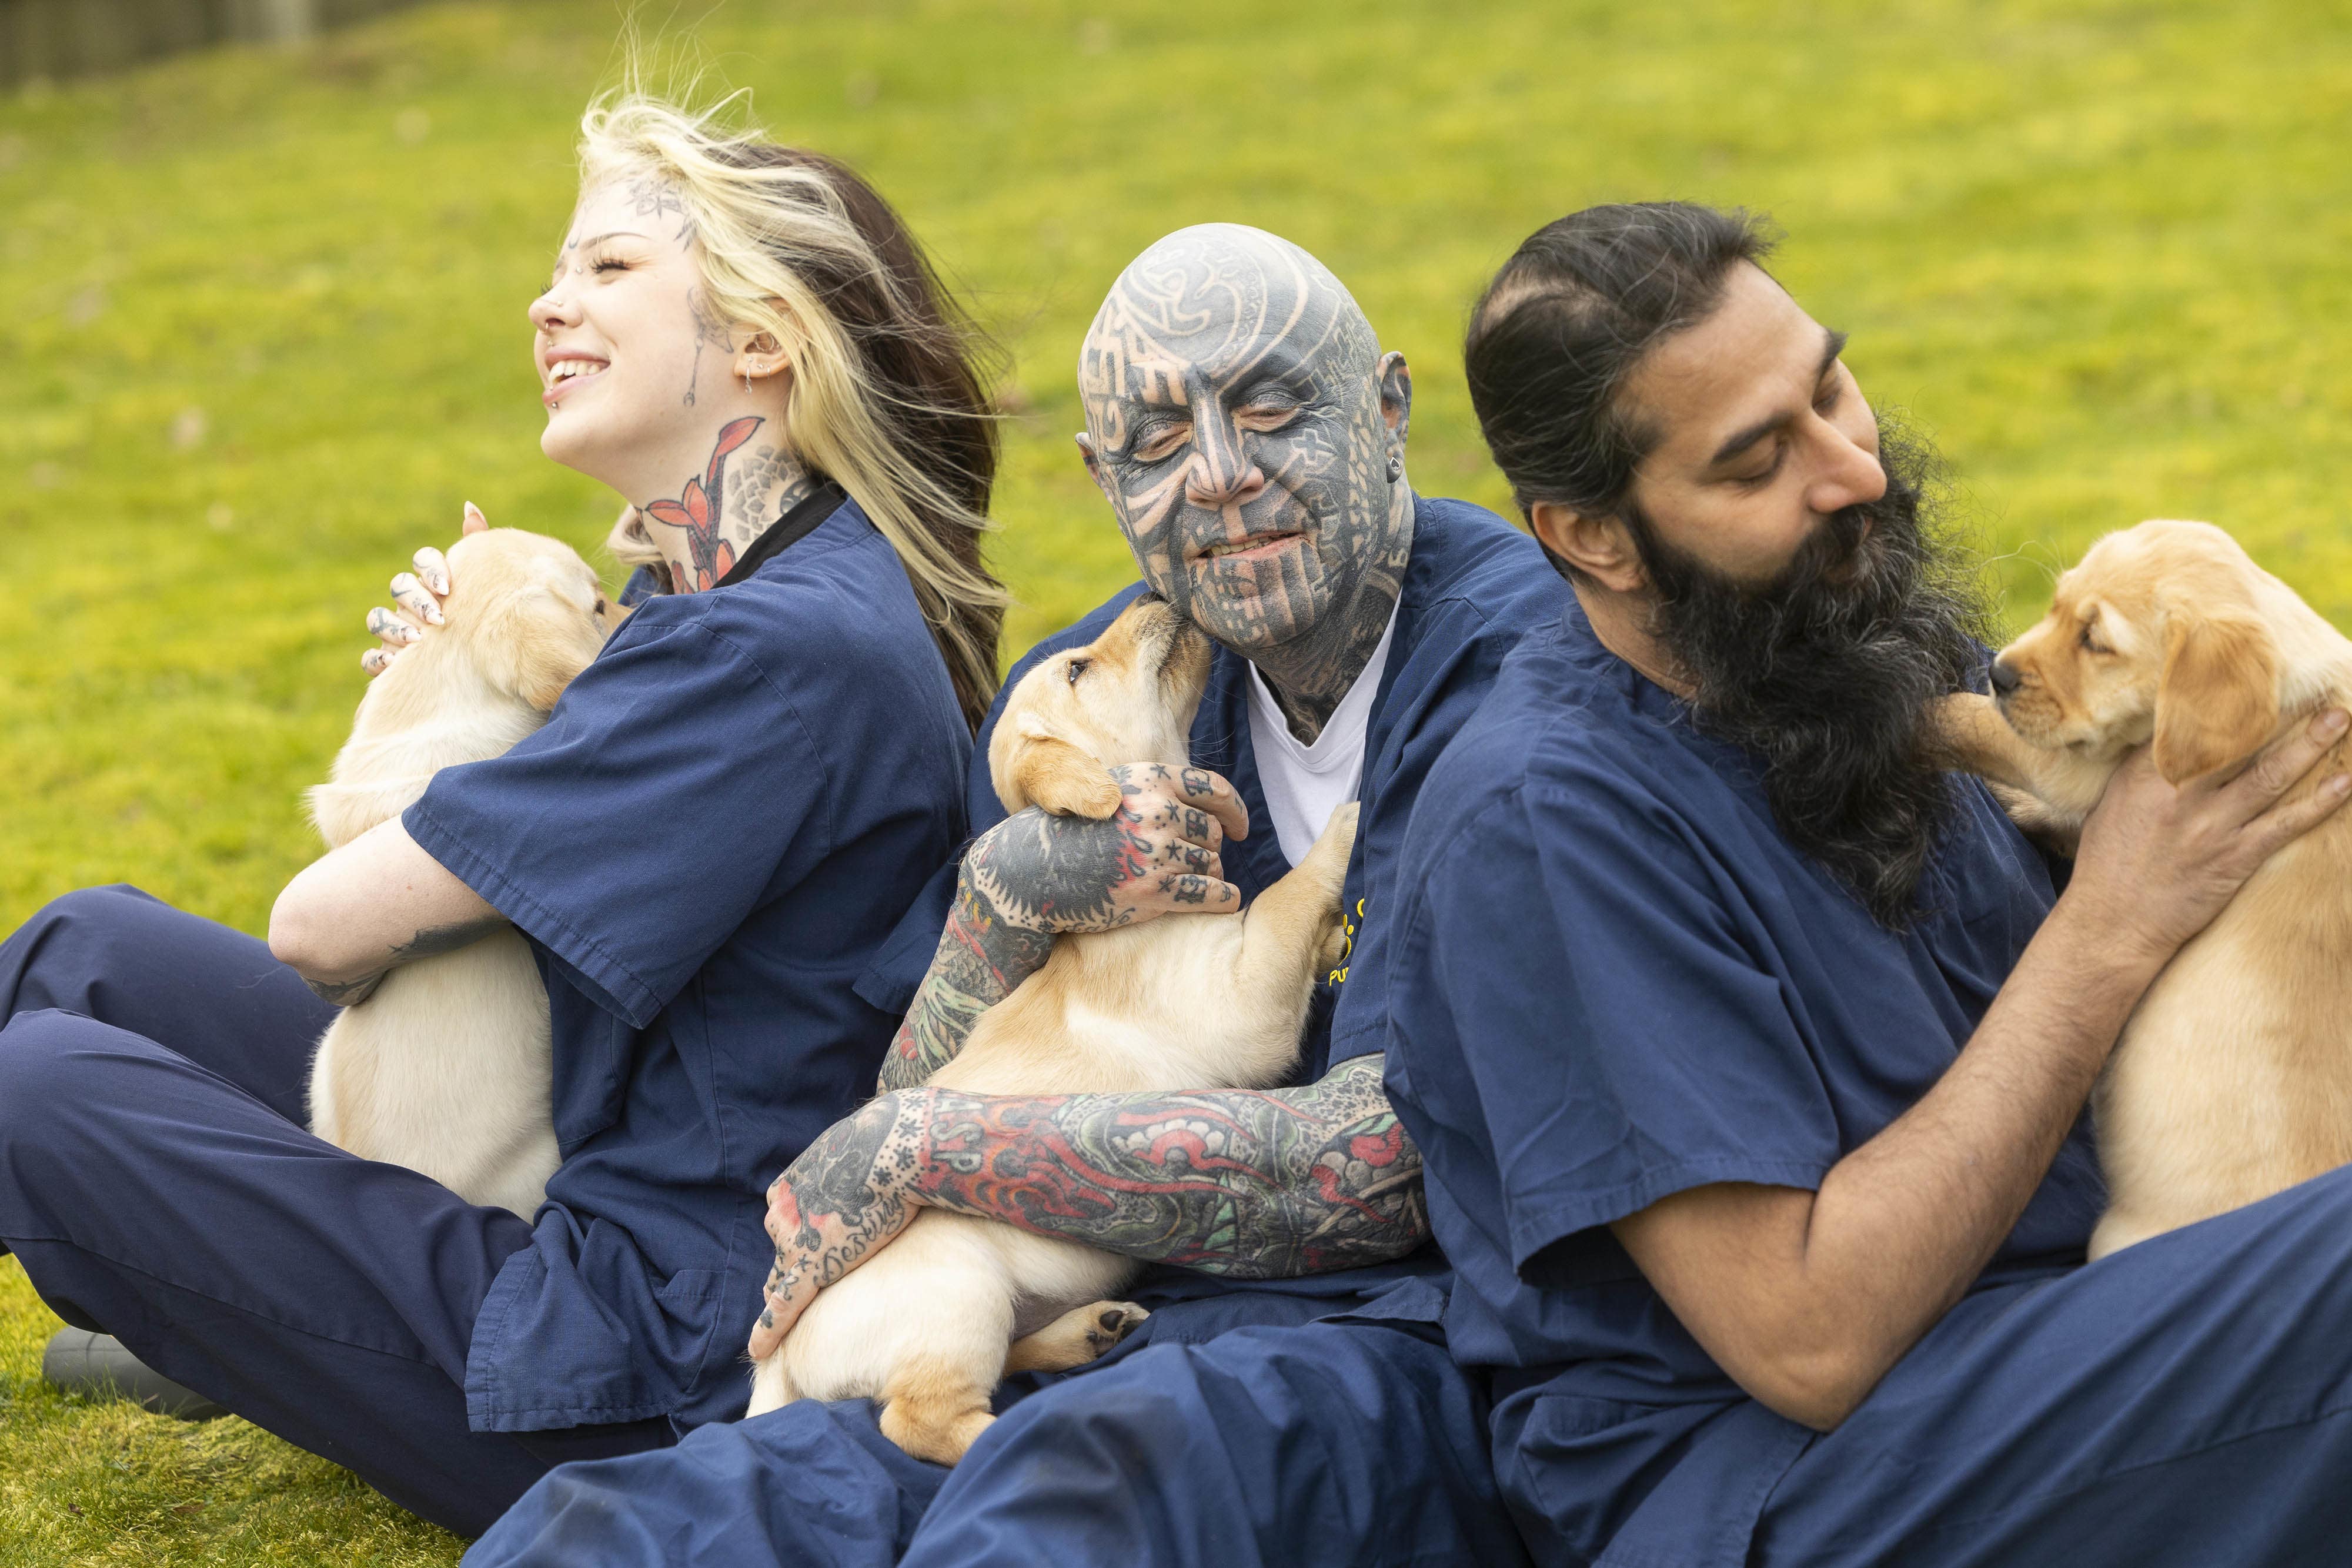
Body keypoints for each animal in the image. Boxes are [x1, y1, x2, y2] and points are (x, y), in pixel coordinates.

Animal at [753, 594, 1364, 1467]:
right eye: (1078, 669)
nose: (1152, 595)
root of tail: (777, 1365)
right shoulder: (1243, 996)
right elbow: (1288, 894)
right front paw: (1346, 821)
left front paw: (1336, 938)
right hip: (960, 1292)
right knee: (920, 1418)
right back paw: (1019, 1433)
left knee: (1008, 1356)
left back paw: (1089, 1332)